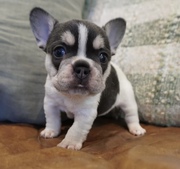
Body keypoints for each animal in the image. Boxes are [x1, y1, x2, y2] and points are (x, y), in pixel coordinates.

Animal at [29, 7, 145, 150]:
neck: (71, 94)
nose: (82, 67)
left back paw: (136, 129)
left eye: (103, 57)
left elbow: (76, 129)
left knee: (131, 115)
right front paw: (51, 131)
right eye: (59, 51)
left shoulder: (86, 113)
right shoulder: (51, 104)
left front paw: (70, 143)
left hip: (128, 100)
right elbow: (52, 120)